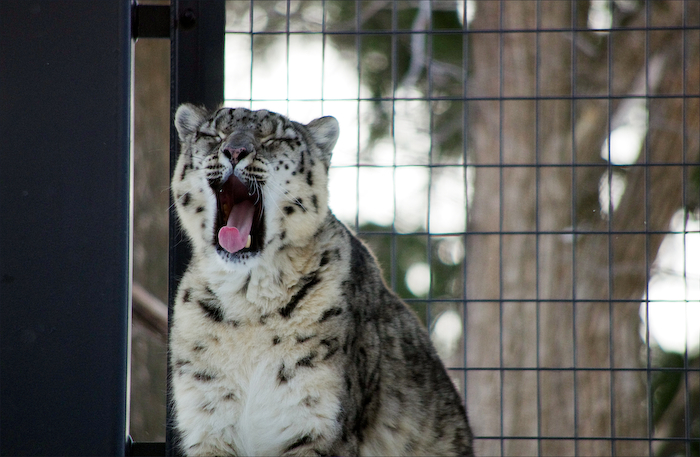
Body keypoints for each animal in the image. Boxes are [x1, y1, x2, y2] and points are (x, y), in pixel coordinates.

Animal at [170, 105, 476, 454]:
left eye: (274, 139)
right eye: (213, 134)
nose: (235, 151)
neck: (244, 300)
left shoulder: (316, 417)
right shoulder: (207, 417)